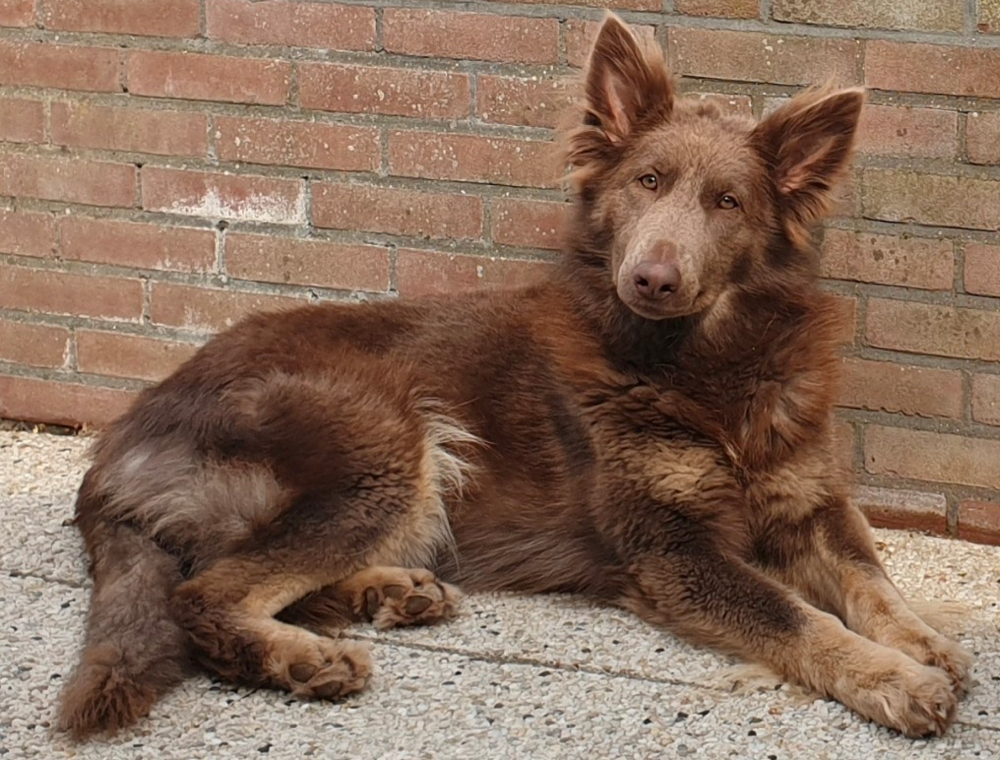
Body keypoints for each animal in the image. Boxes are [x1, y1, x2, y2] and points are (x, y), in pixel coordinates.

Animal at [58, 16, 972, 744]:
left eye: (728, 202)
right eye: (646, 182)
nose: (652, 279)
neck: (702, 367)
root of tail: (118, 441)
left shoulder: (812, 502)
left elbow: (870, 579)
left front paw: (921, 641)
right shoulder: (670, 550)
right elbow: (797, 616)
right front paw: (894, 679)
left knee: (248, 571)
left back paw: (389, 593)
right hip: (385, 434)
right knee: (207, 592)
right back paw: (306, 658)